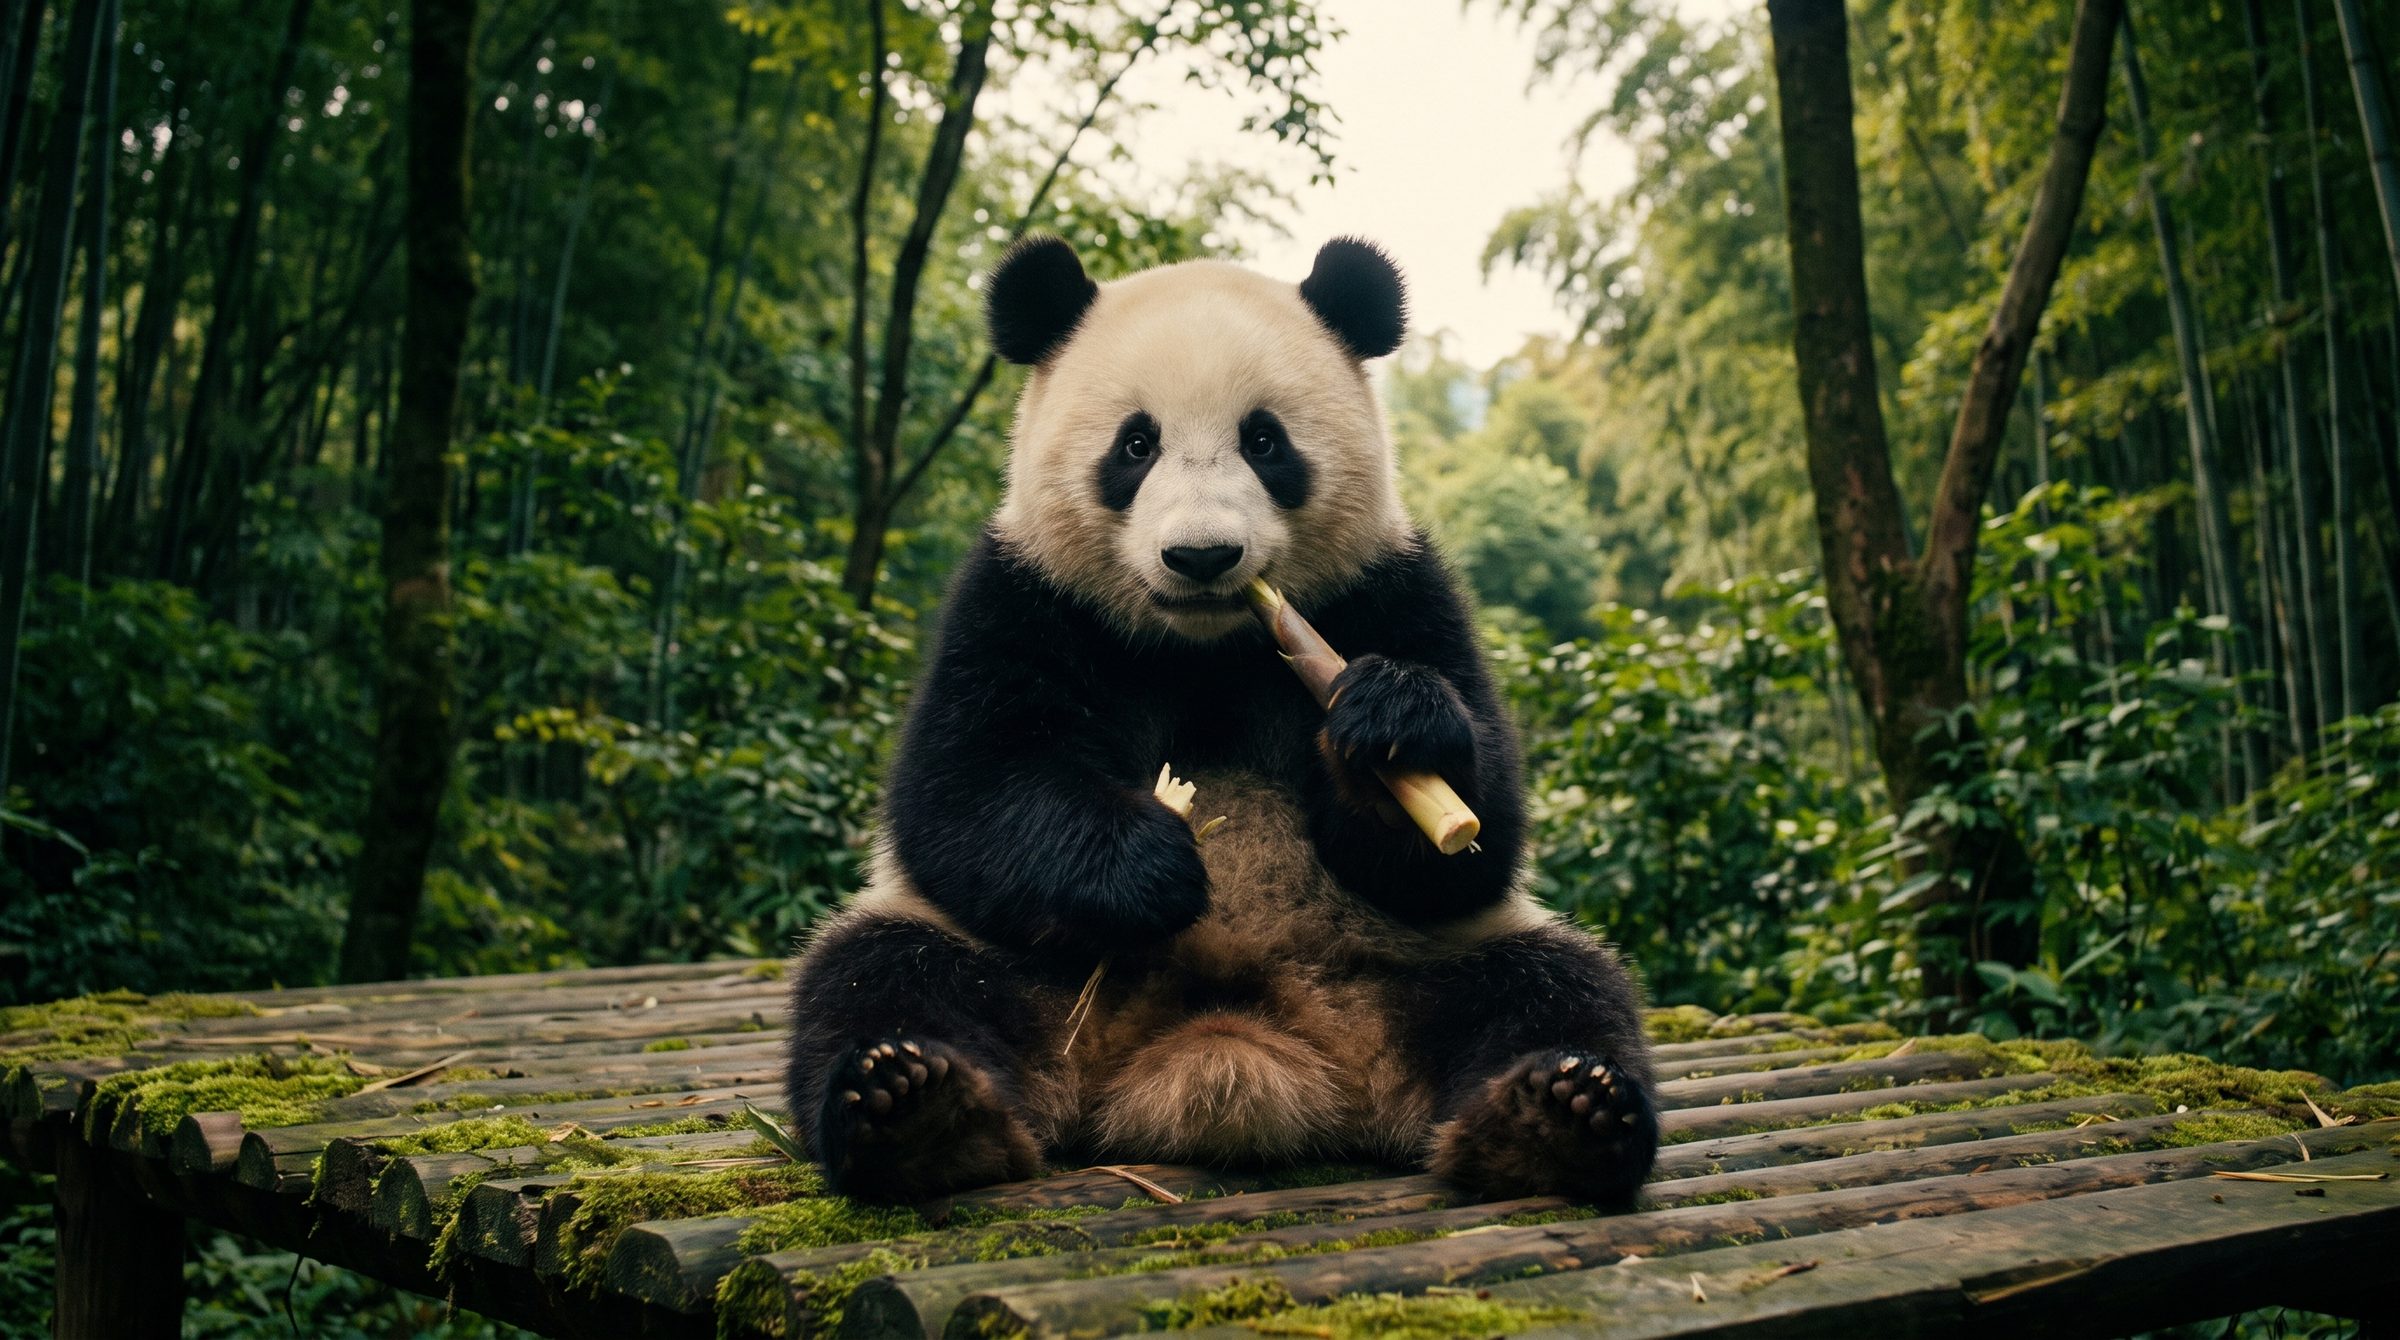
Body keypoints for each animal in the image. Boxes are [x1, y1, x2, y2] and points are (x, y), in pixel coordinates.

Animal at [784, 236, 1658, 1207]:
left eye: (1264, 440)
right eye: (1136, 444)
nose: (1202, 556)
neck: (1204, 647)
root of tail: (1218, 1054)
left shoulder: (1389, 587)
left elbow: (1474, 846)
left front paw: (1394, 725)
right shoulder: (1020, 597)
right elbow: (961, 794)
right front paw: (1149, 862)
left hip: (1412, 964)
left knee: (1550, 987)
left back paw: (1557, 1116)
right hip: (1017, 969)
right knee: (883, 974)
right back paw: (916, 1109)